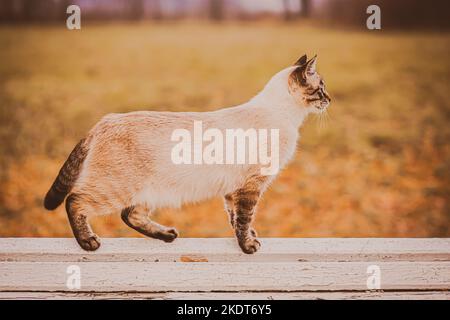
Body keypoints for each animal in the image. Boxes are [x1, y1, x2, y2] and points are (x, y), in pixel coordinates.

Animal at [44, 55, 330, 255]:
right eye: (321, 89)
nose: (330, 99)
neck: (285, 116)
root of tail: (103, 121)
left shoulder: (235, 189)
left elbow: (235, 218)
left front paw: (250, 236)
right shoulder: (251, 186)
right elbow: (243, 219)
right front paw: (248, 246)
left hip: (149, 191)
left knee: (129, 214)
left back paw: (167, 235)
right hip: (116, 188)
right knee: (75, 200)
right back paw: (88, 242)